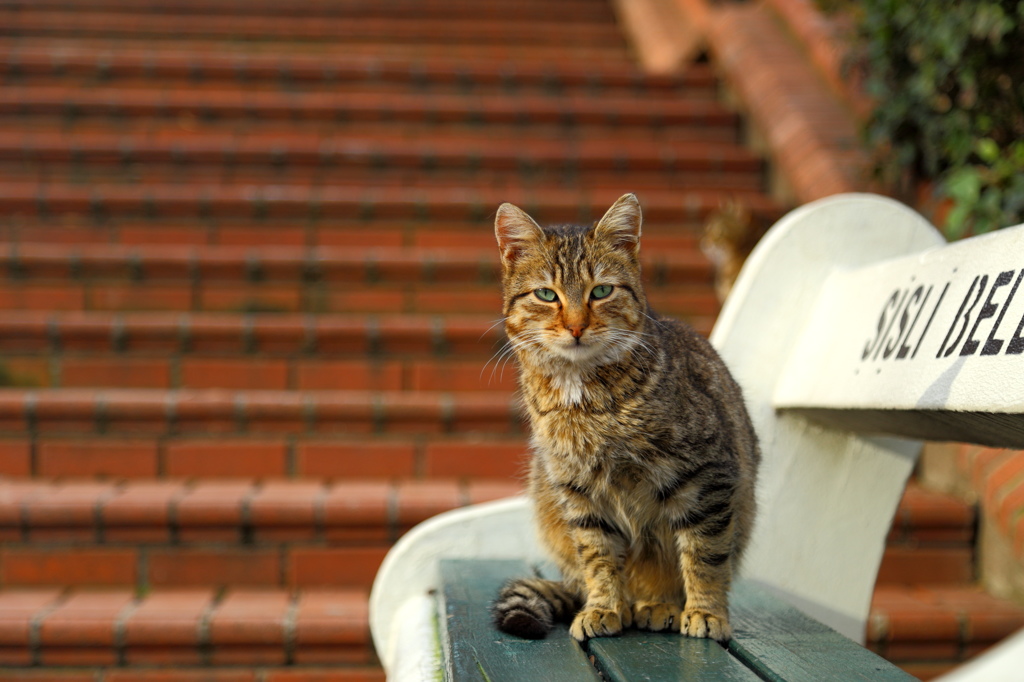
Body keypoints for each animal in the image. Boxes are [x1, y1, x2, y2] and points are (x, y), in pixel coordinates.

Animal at [487, 193, 761, 638]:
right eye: (546, 295)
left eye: (601, 291)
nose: (576, 327)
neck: (582, 398)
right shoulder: (577, 490)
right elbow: (598, 557)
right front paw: (604, 607)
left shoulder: (709, 476)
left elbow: (705, 554)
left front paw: (707, 612)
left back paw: (659, 603)